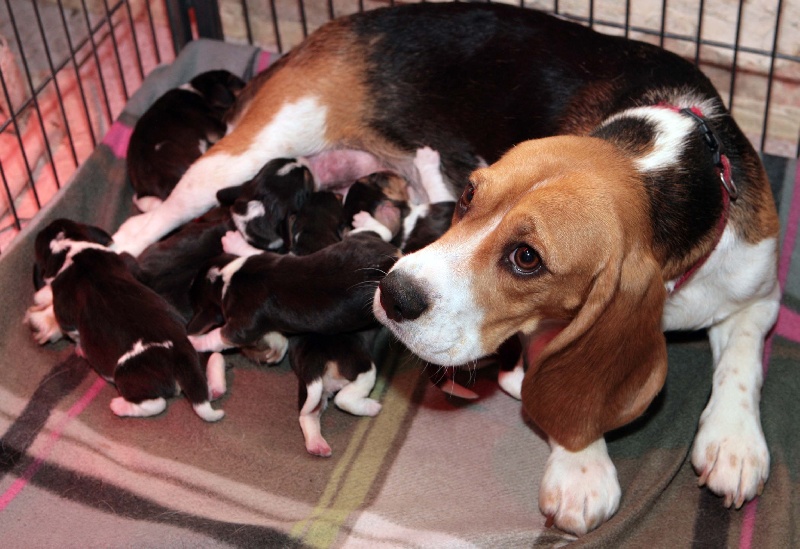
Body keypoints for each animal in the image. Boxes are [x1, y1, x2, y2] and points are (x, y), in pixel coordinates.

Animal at [26, 217, 225, 420]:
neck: (70, 248)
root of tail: (181, 359)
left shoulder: (65, 314)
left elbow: (74, 333)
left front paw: (79, 348)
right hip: (197, 349)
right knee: (214, 361)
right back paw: (215, 387)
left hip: (127, 377)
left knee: (157, 404)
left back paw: (120, 406)